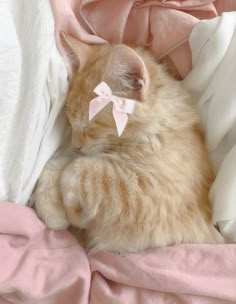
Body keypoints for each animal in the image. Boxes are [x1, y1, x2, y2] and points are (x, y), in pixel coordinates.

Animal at [33, 33, 223, 252]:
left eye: (91, 124)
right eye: (71, 121)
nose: (76, 144)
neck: (159, 130)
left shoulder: (146, 188)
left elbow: (76, 171)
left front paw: (75, 213)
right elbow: (57, 163)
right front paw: (54, 211)